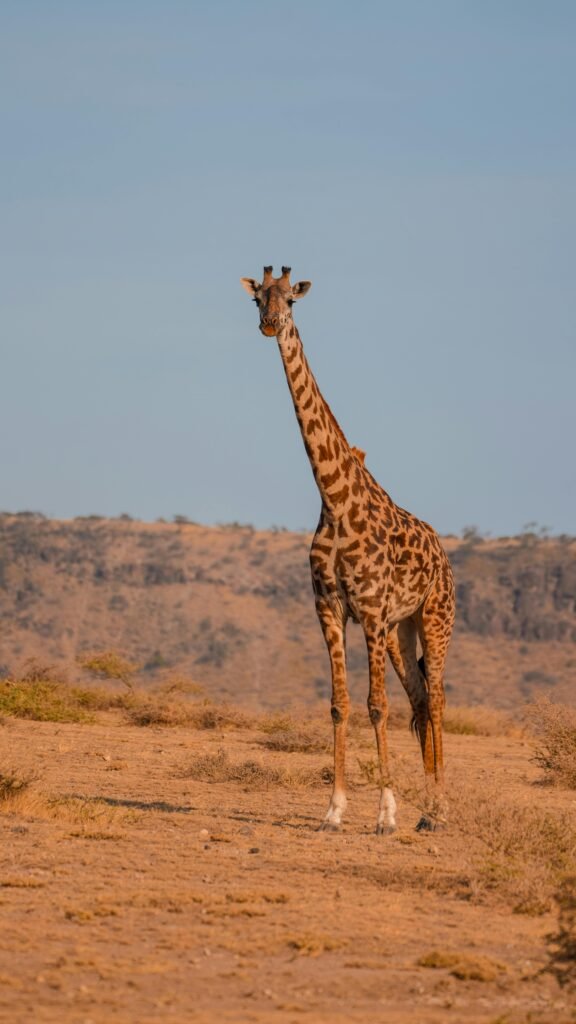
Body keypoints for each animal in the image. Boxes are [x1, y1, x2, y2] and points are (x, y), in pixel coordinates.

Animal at [241, 266, 456, 833]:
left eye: (291, 299)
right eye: (257, 298)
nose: (270, 324)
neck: (334, 498)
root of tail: (445, 557)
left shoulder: (372, 608)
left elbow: (376, 704)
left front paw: (385, 813)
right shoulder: (330, 606)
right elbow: (340, 703)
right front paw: (334, 810)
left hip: (434, 617)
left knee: (437, 697)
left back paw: (439, 808)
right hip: (402, 629)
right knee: (419, 698)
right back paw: (428, 808)